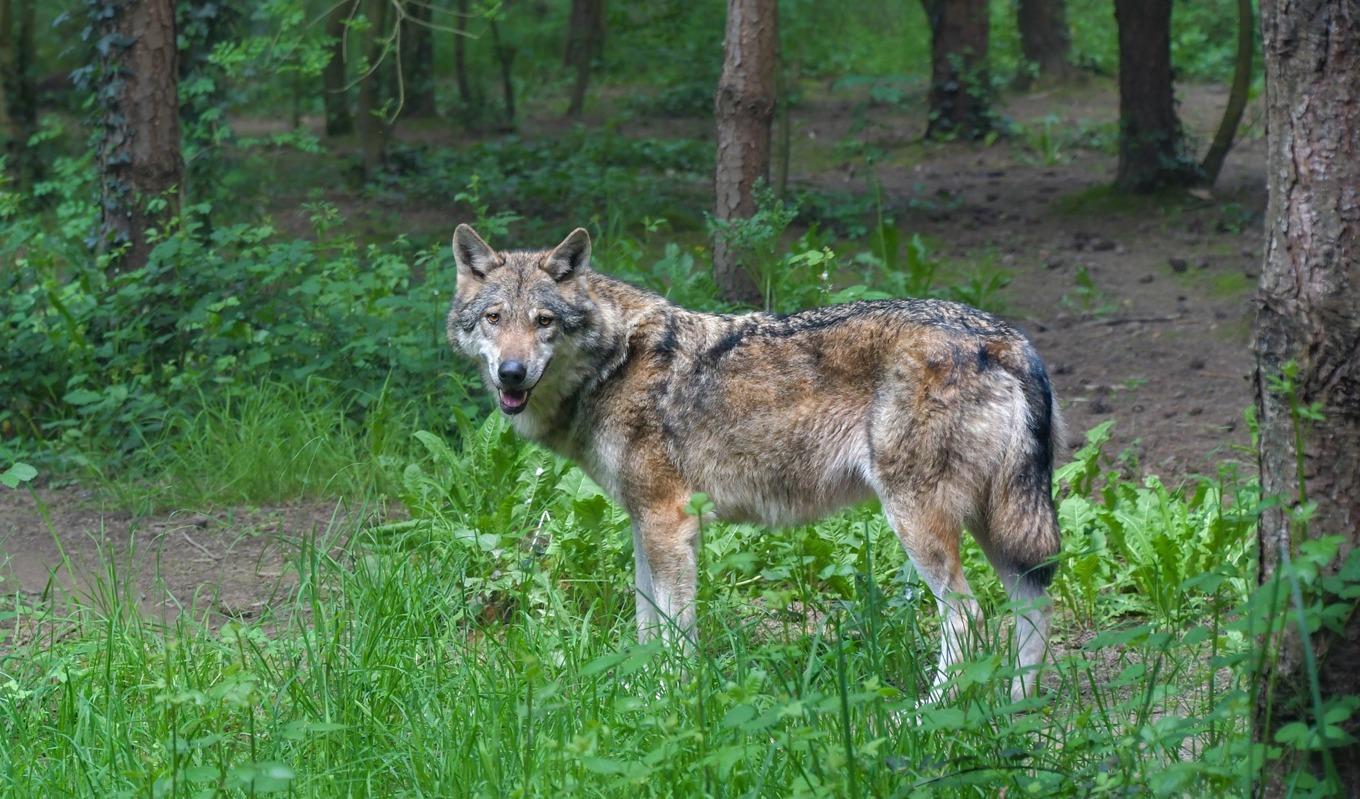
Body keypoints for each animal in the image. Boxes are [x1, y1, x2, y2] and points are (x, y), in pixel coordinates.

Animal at [446, 222, 1060, 701]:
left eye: (544, 321)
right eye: (494, 318)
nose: (511, 373)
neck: (615, 362)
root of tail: (1009, 341)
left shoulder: (670, 523)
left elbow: (675, 634)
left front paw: (670, 703)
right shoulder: (644, 525)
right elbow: (647, 628)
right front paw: (637, 698)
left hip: (920, 522)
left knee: (970, 618)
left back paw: (924, 716)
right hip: (997, 525)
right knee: (1033, 608)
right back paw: (1015, 709)